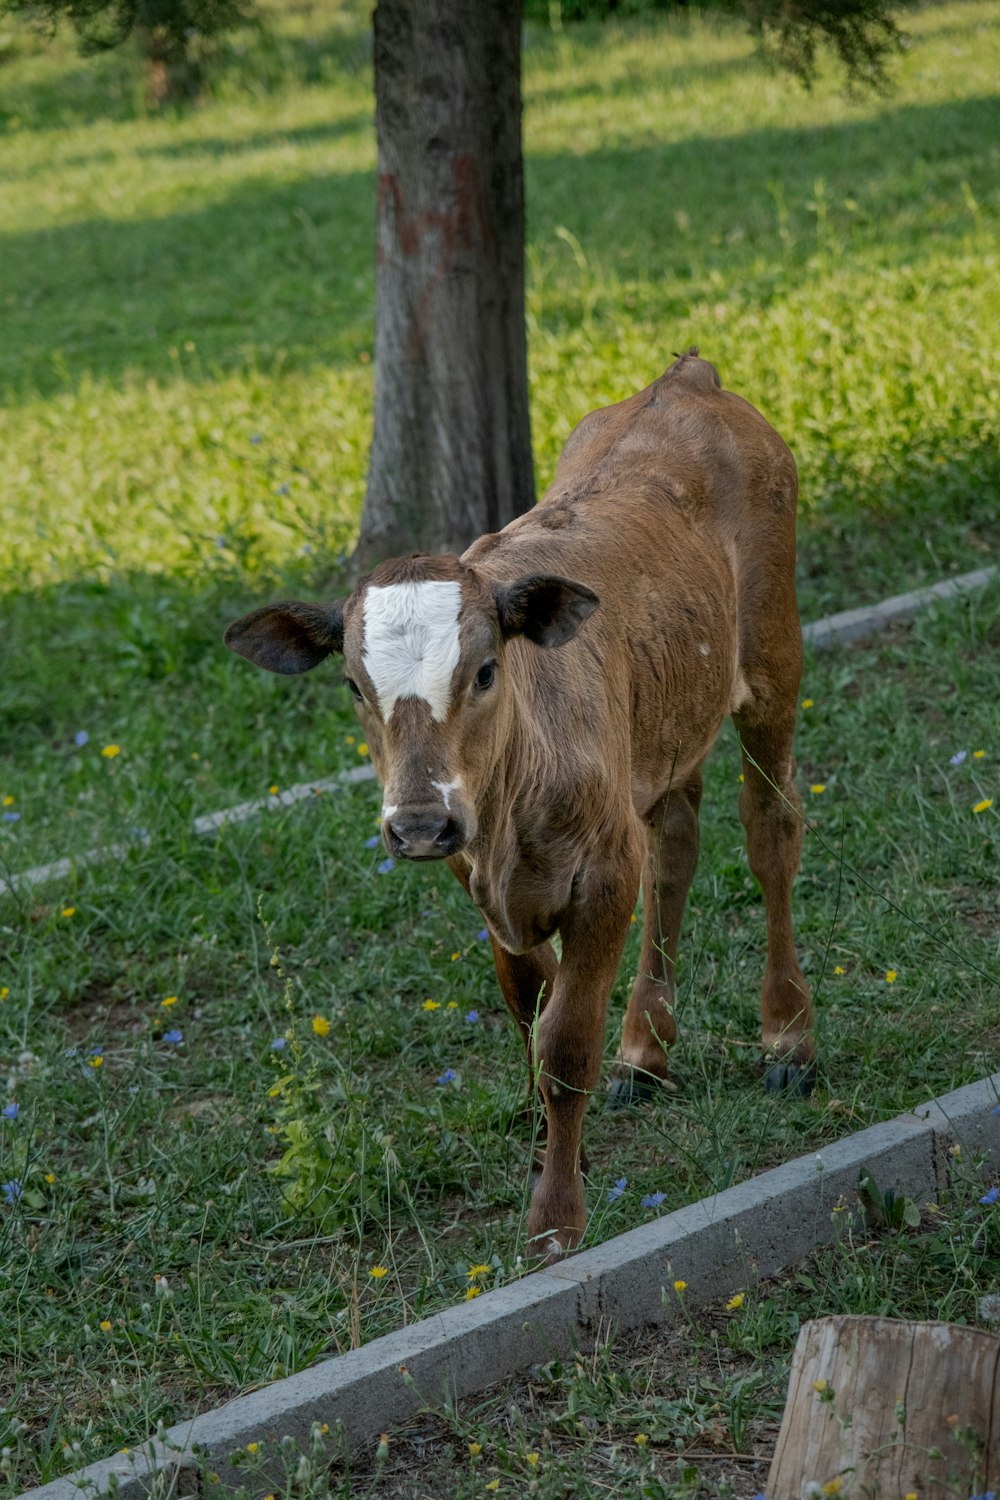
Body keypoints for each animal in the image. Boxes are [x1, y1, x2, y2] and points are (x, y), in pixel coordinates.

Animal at [226, 357, 815, 1260]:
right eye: (353, 685)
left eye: (485, 670)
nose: (419, 825)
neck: (507, 814)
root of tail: (686, 377)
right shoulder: (486, 889)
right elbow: (527, 1020)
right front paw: (550, 1155)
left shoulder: (602, 877)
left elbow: (565, 1044)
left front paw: (556, 1219)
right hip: (666, 728)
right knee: (676, 849)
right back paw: (644, 1051)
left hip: (775, 663)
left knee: (771, 832)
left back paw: (788, 1036)